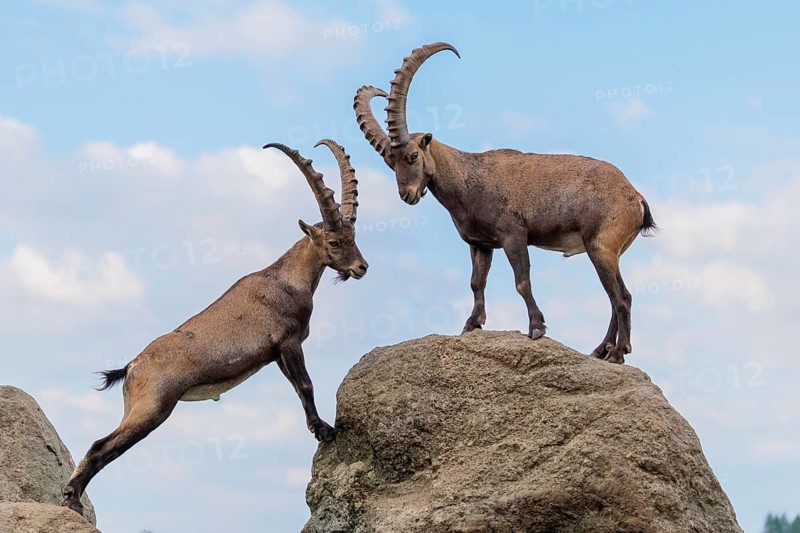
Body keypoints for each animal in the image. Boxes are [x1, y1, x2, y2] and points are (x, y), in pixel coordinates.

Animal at [62, 140, 368, 517]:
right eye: (334, 242)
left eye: (353, 236)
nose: (361, 267)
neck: (287, 280)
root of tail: (131, 367)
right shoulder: (288, 342)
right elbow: (306, 385)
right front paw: (323, 430)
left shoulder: (276, 354)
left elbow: (298, 388)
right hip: (152, 408)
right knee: (99, 446)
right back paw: (72, 500)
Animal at [354, 42, 655, 365]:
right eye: (389, 162)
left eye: (412, 156)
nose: (407, 195)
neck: (469, 178)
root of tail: (635, 196)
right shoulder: (481, 244)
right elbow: (476, 282)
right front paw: (471, 324)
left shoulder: (514, 235)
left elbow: (522, 281)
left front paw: (536, 327)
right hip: (608, 251)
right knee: (614, 298)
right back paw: (602, 350)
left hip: (601, 246)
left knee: (621, 297)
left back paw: (618, 353)